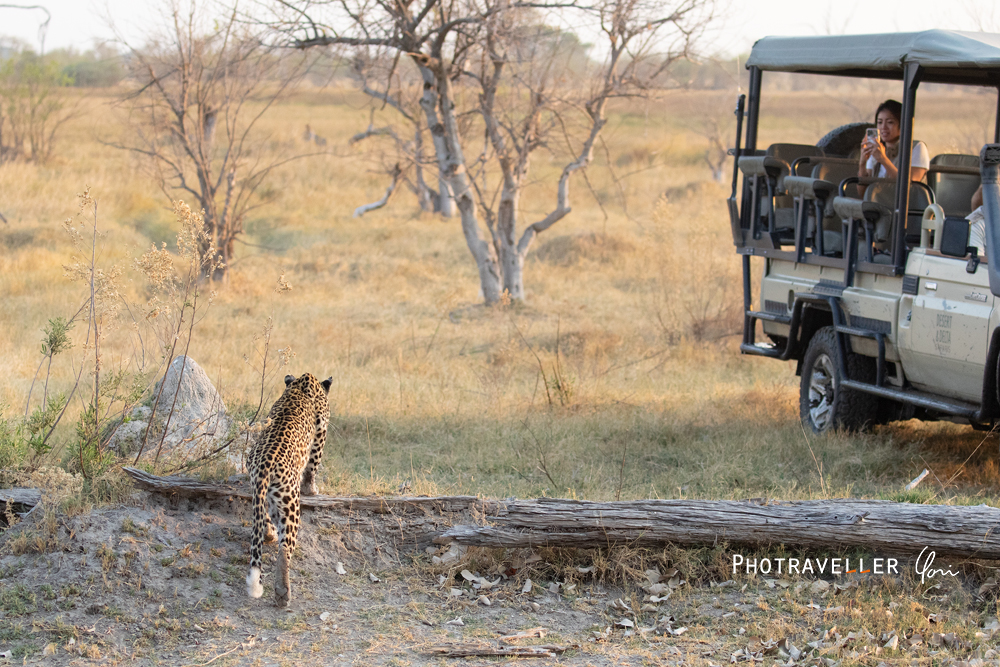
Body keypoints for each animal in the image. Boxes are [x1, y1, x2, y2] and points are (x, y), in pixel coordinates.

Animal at [246, 374, 332, 608]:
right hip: (290, 501)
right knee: (285, 548)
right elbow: (312, 467)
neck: (300, 385)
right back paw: (283, 593)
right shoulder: (321, 432)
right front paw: (312, 490)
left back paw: (269, 535)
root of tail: (264, 464)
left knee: (263, 520)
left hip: (263, 493)